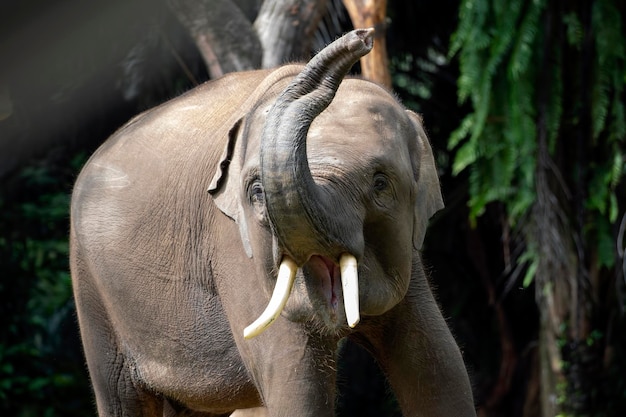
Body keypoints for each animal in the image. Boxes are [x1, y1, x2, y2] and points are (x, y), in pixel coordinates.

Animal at [69, 27, 472, 414]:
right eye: (257, 191)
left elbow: (439, 367)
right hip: (90, 286)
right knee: (120, 395)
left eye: (380, 184)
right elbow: (297, 385)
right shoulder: (234, 246)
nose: (363, 36)